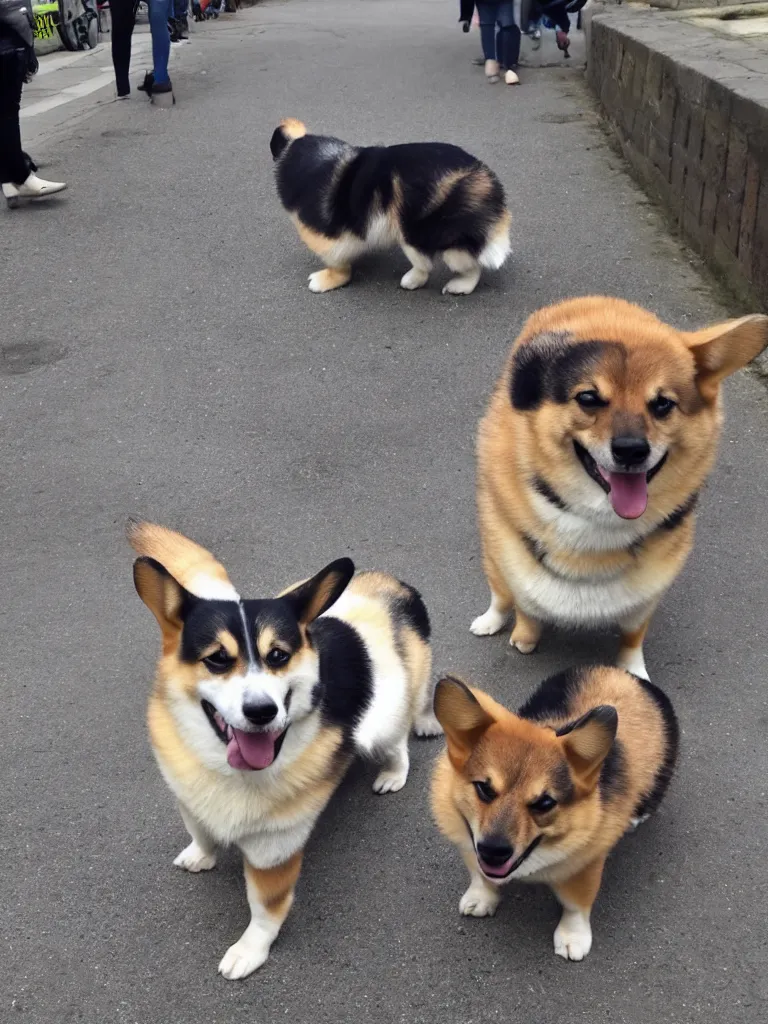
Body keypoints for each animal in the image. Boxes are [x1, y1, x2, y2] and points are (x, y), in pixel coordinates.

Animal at [126, 524, 438, 978]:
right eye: (217, 659)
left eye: (278, 656)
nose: (261, 711)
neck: (231, 771)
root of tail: (394, 587)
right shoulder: (189, 799)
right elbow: (199, 830)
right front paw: (201, 854)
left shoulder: (273, 851)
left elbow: (264, 912)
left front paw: (249, 951)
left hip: (387, 715)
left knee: (398, 741)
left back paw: (393, 772)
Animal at [270, 120, 512, 299]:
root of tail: (483, 180)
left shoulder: (329, 242)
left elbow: (340, 268)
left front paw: (324, 281)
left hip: (422, 233)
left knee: (450, 265)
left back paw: (451, 284)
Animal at [434, 663, 679, 958]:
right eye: (484, 789)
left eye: (545, 803)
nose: (493, 851)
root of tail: (627, 675)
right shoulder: (471, 843)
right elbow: (480, 876)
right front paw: (482, 898)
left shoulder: (585, 865)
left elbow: (576, 904)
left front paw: (573, 937)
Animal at [468, 296, 768, 679]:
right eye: (589, 398)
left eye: (662, 404)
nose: (631, 450)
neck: (597, 522)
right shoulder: (513, 559)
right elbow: (524, 604)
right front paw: (524, 638)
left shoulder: (648, 592)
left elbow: (632, 635)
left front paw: (634, 671)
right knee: (500, 594)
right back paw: (490, 620)